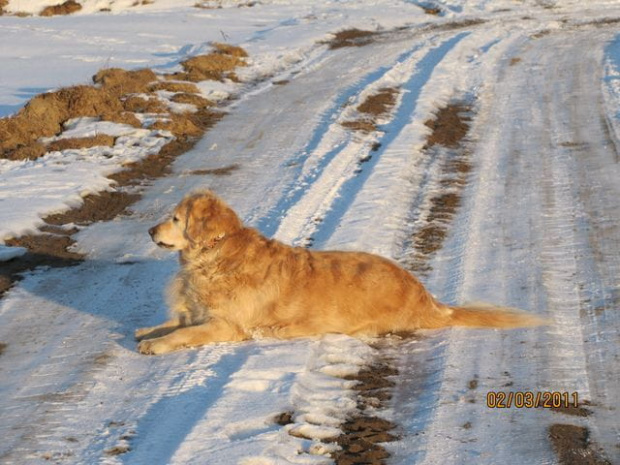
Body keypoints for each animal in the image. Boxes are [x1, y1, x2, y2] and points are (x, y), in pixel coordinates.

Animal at [137, 188, 548, 352]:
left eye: (175, 218)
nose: (150, 231)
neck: (216, 253)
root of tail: (428, 299)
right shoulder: (199, 312)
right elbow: (172, 323)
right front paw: (146, 332)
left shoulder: (226, 325)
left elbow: (183, 333)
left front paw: (155, 345)